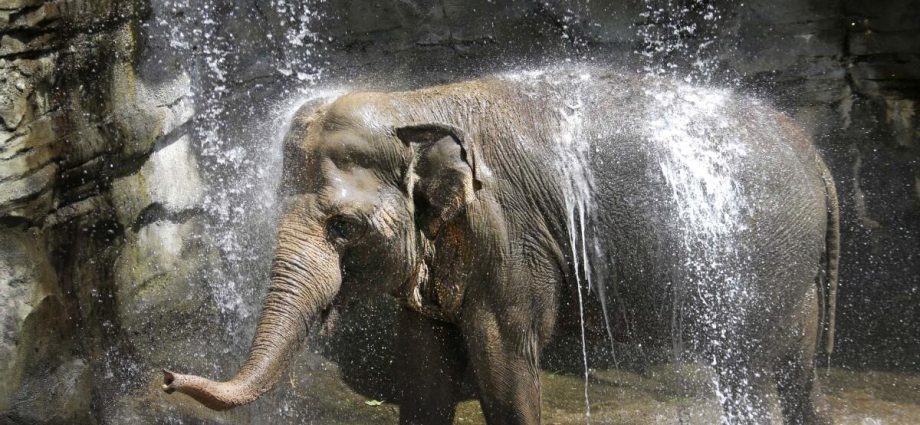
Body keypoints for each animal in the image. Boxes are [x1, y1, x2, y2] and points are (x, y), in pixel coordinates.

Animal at [162, 67, 839, 425]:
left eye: (343, 228)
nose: (167, 376)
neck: (417, 103)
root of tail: (817, 158)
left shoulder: (508, 236)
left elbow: (503, 357)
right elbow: (424, 369)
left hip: (762, 258)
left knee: (753, 361)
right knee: (794, 367)